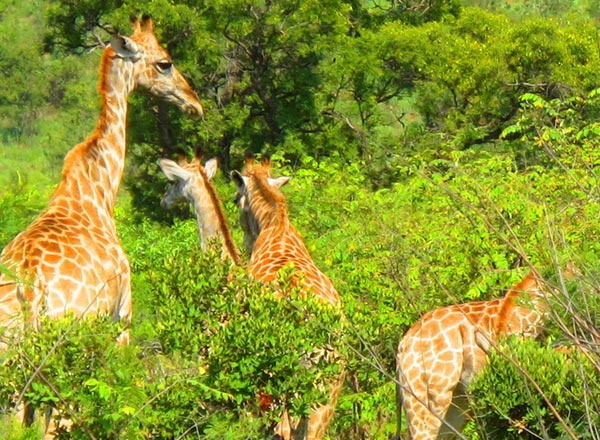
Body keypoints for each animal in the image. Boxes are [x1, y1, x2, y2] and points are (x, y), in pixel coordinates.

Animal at [0, 12, 203, 430]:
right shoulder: (122, 316)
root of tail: (30, 292)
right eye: (165, 63)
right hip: (69, 347)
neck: (98, 188)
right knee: (59, 422)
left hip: (12, 356)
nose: (195, 104)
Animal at [231, 156, 344, 440]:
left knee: (281, 427)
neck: (275, 223)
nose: (244, 243)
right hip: (329, 381)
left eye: (236, 199)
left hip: (273, 374)